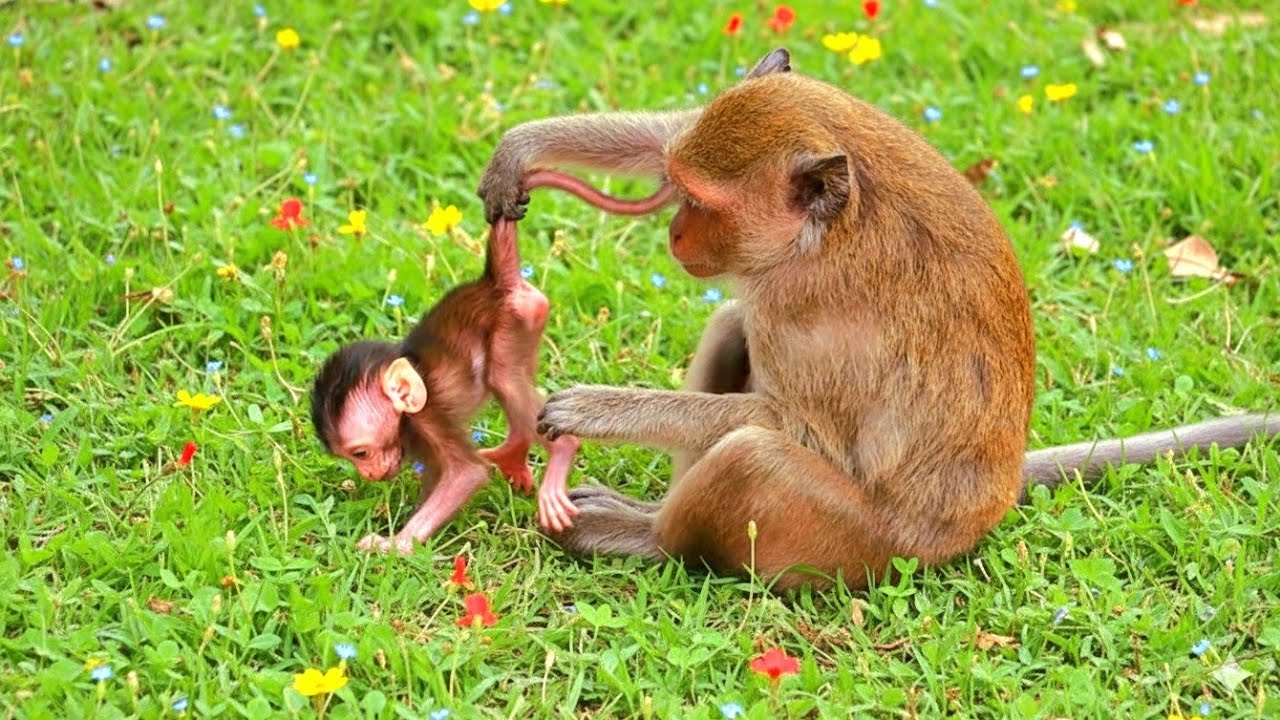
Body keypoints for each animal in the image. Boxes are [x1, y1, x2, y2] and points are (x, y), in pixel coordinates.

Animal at [310, 170, 674, 553]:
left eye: (360, 453)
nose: (367, 474)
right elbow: (438, 474)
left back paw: (561, 451)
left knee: (502, 377)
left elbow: (465, 475)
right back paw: (514, 453)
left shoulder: (428, 419)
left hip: (514, 321)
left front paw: (396, 544)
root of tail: (494, 283)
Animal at [475, 48, 1279, 590]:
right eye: (676, 186)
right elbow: (664, 133)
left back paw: (649, 539)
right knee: (732, 329)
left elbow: (799, 429)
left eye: (701, 204)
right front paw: (521, 148)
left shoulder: (812, 314)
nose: (674, 233)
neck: (827, 230)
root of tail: (980, 514)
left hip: (857, 541)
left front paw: (600, 409)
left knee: (751, 453)